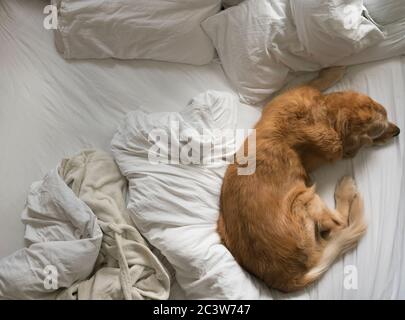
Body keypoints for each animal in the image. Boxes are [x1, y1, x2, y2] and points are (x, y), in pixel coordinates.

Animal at [218, 67, 398, 292]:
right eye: (379, 131)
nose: (398, 131)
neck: (327, 117)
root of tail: (290, 278)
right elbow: (315, 83)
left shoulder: (285, 97)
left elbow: (315, 83)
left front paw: (331, 72)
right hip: (305, 198)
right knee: (339, 225)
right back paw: (346, 189)